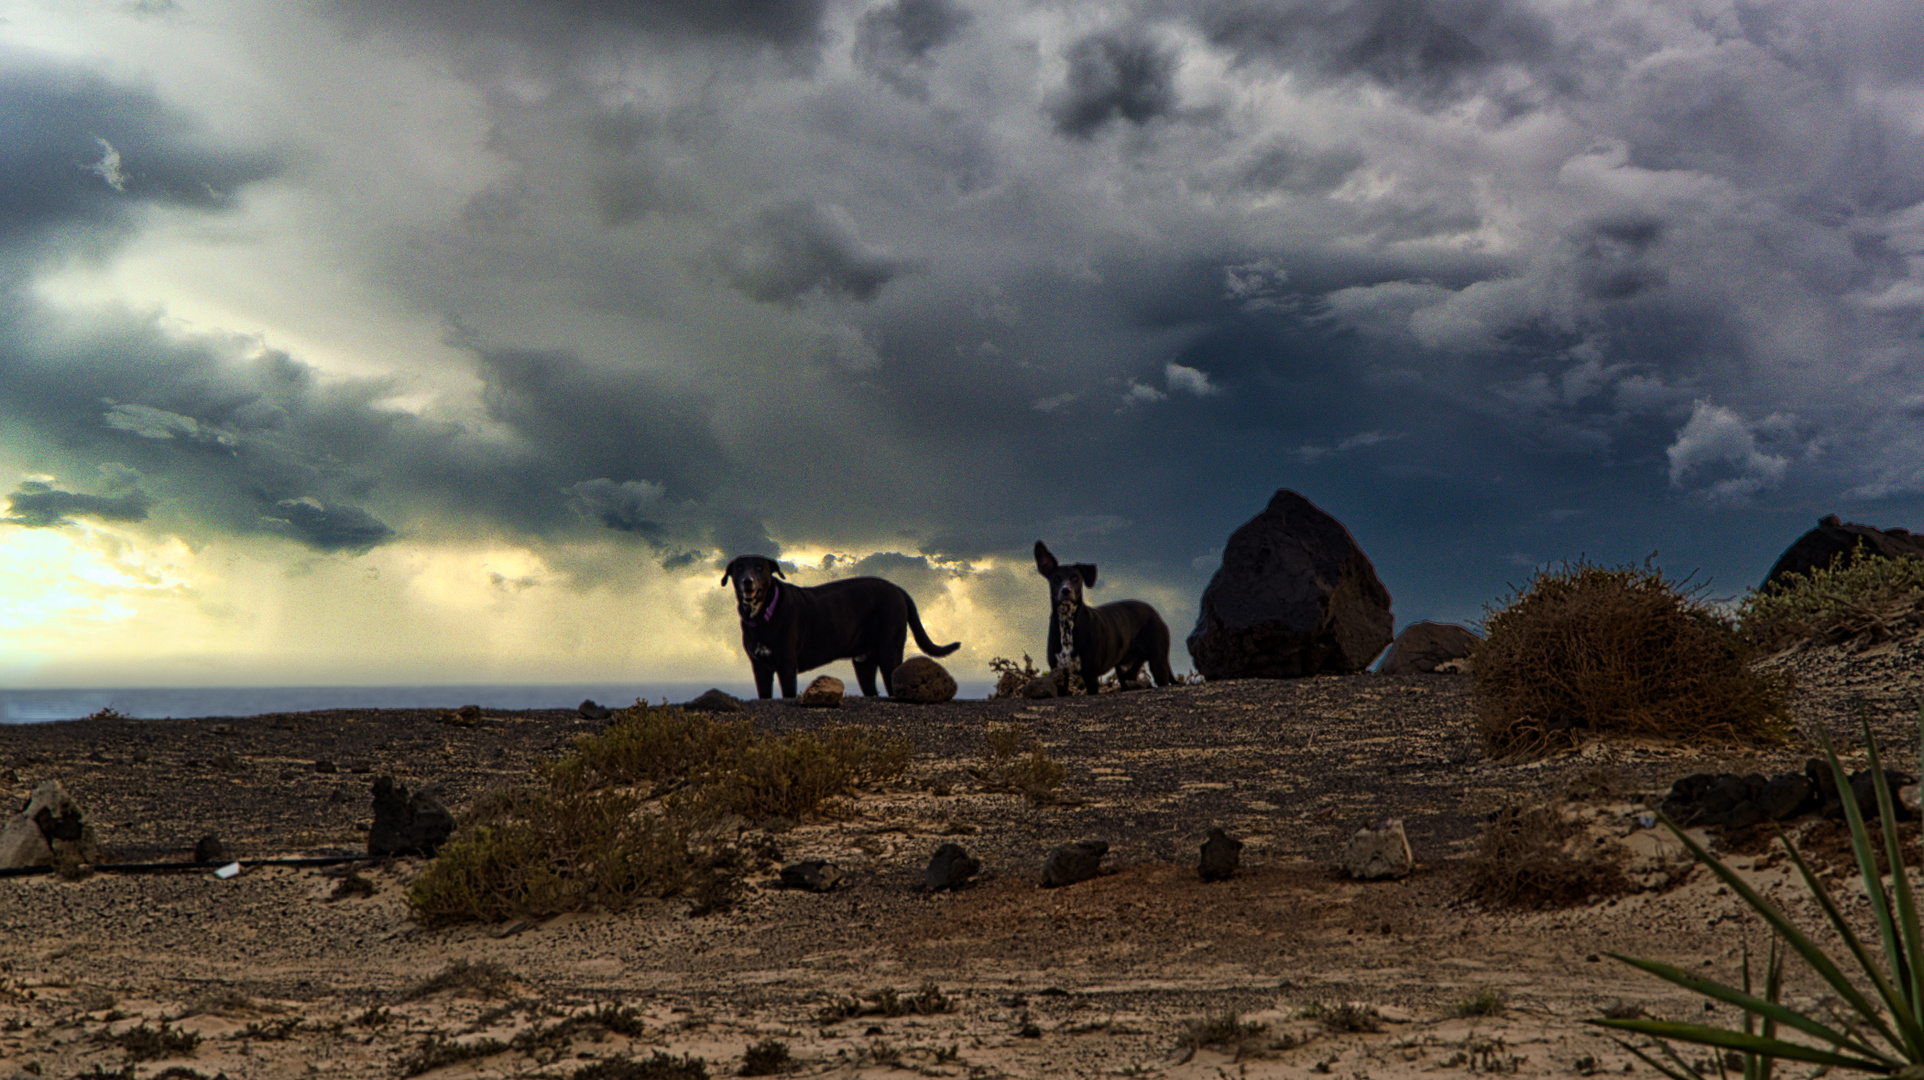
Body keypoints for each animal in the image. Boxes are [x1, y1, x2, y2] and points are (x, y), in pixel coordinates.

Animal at [723, 554, 962, 700]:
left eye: (760, 568)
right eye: (739, 568)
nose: (747, 581)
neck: (762, 615)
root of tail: (898, 589)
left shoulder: (787, 666)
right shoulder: (760, 668)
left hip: (889, 653)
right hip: (864, 663)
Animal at [1038, 539, 1169, 689]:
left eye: (1075, 578)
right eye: (1056, 579)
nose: (1066, 590)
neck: (1067, 623)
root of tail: (1155, 613)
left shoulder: (1090, 675)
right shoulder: (1060, 675)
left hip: (1158, 664)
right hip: (1126, 671)